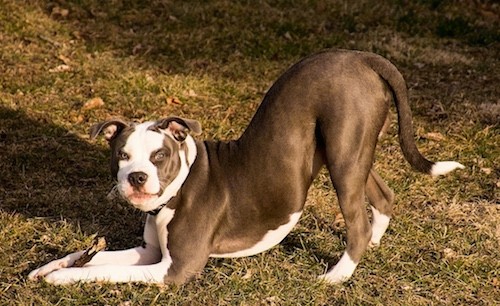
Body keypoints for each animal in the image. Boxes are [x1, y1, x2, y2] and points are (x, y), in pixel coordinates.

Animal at [28, 48, 464, 284]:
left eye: (159, 156)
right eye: (121, 154)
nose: (136, 178)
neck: (179, 190)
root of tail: (360, 57)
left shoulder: (173, 269)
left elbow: (99, 270)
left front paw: (63, 278)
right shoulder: (148, 253)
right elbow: (92, 256)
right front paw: (49, 267)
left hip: (343, 153)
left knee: (356, 221)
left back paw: (336, 276)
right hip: (347, 152)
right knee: (382, 194)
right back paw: (373, 243)